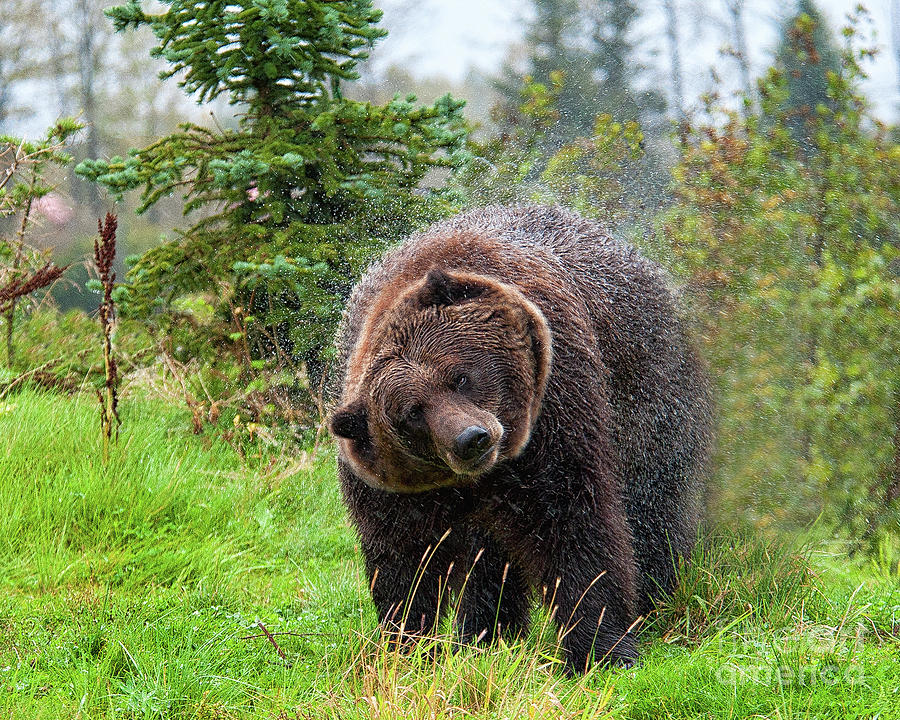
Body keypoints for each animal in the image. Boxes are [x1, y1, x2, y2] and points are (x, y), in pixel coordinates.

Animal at [328, 202, 712, 668]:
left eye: (459, 376)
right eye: (412, 415)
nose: (471, 439)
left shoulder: (556, 413)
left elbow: (572, 522)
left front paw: (601, 649)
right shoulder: (390, 484)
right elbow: (402, 557)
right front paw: (407, 645)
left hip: (649, 395)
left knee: (653, 501)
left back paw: (656, 597)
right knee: (489, 556)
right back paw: (486, 633)